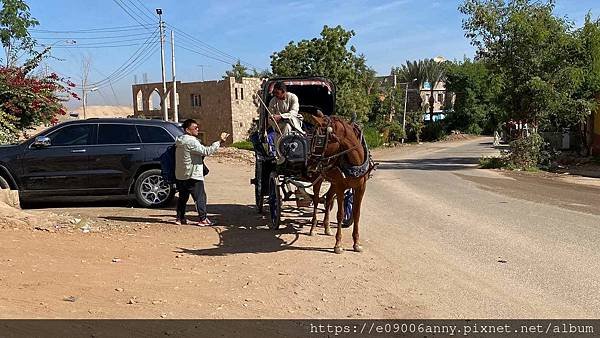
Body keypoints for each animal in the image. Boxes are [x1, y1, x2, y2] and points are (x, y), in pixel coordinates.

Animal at [308, 113, 372, 254]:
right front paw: (338, 244)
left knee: (328, 198)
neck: (355, 161)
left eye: (319, 140)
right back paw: (313, 228)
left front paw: (356, 243)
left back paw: (327, 228)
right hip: (319, 179)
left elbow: (356, 213)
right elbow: (340, 214)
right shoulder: (341, 187)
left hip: (333, 183)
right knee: (316, 200)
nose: (309, 163)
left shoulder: (361, 187)